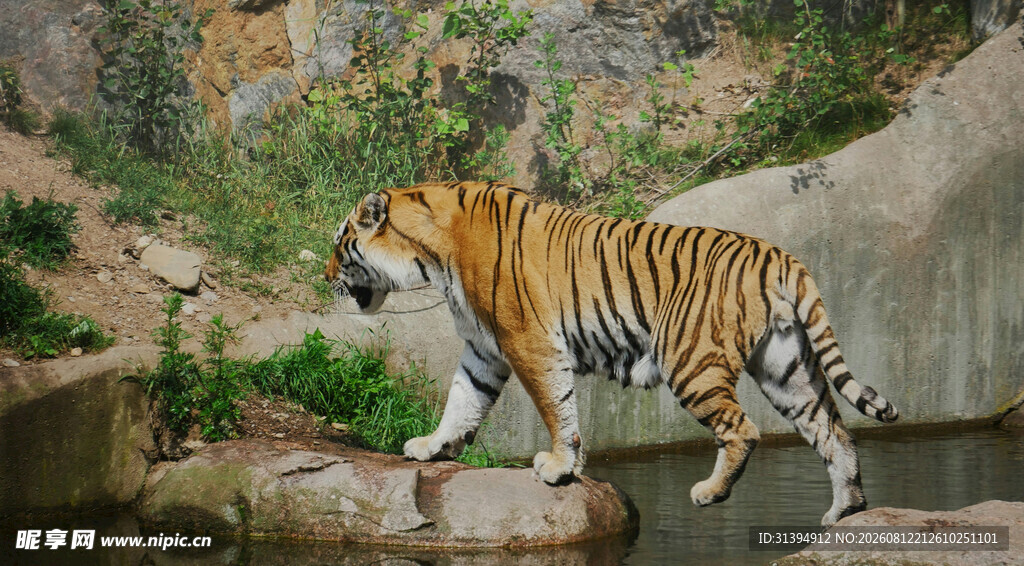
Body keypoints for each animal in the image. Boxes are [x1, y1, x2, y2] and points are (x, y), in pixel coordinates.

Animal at [324, 181, 898, 526]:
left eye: (339, 243)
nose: (326, 276)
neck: (431, 256)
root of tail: (778, 253)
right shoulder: (484, 349)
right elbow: (462, 400)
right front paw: (433, 448)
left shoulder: (526, 341)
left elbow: (555, 406)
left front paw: (558, 467)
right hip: (787, 367)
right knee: (835, 433)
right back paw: (846, 513)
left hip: (690, 360)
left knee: (744, 429)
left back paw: (710, 492)